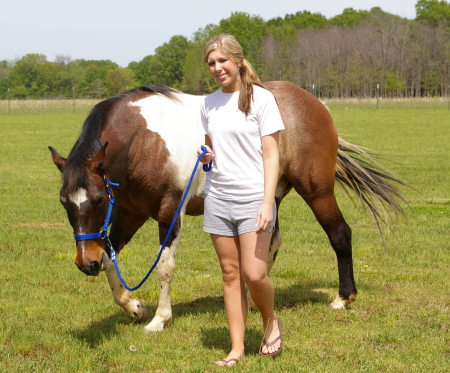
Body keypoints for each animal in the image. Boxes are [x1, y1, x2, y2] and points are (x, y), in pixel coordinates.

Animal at [48, 80, 404, 332]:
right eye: (64, 202)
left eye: (97, 199)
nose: (85, 263)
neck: (143, 140)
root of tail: (315, 103)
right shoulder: (128, 213)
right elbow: (110, 258)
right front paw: (133, 307)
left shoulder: (169, 214)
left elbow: (164, 267)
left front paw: (160, 319)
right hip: (270, 199)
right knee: (268, 247)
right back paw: (252, 300)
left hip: (316, 191)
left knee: (340, 234)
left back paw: (344, 298)